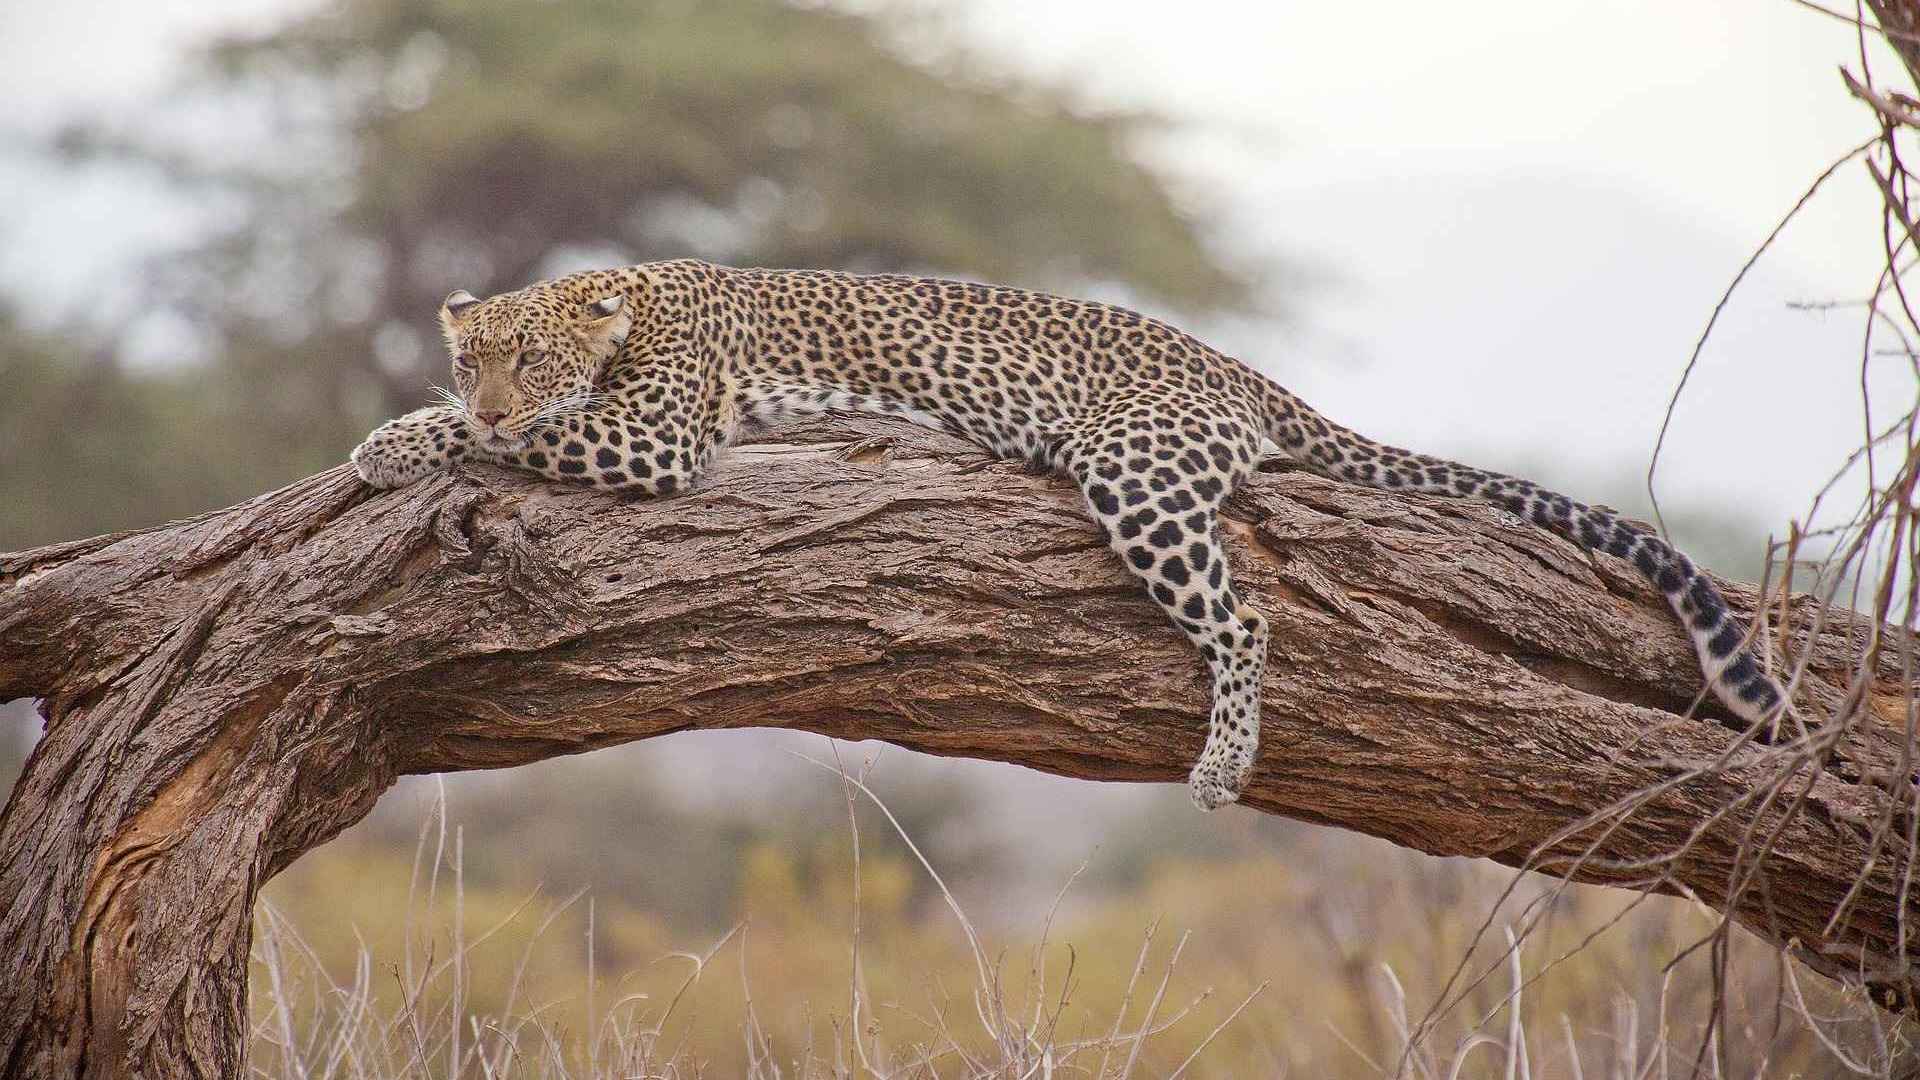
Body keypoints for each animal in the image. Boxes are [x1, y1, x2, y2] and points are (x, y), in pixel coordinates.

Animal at [352, 259, 1788, 810]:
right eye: (479, 354)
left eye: (531, 362)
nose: (489, 390)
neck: (630, 302)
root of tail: (1239, 372)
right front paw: (398, 431)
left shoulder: (656, 433)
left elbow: (512, 445)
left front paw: (407, 442)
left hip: (1134, 473)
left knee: (1245, 613)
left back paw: (1221, 765)